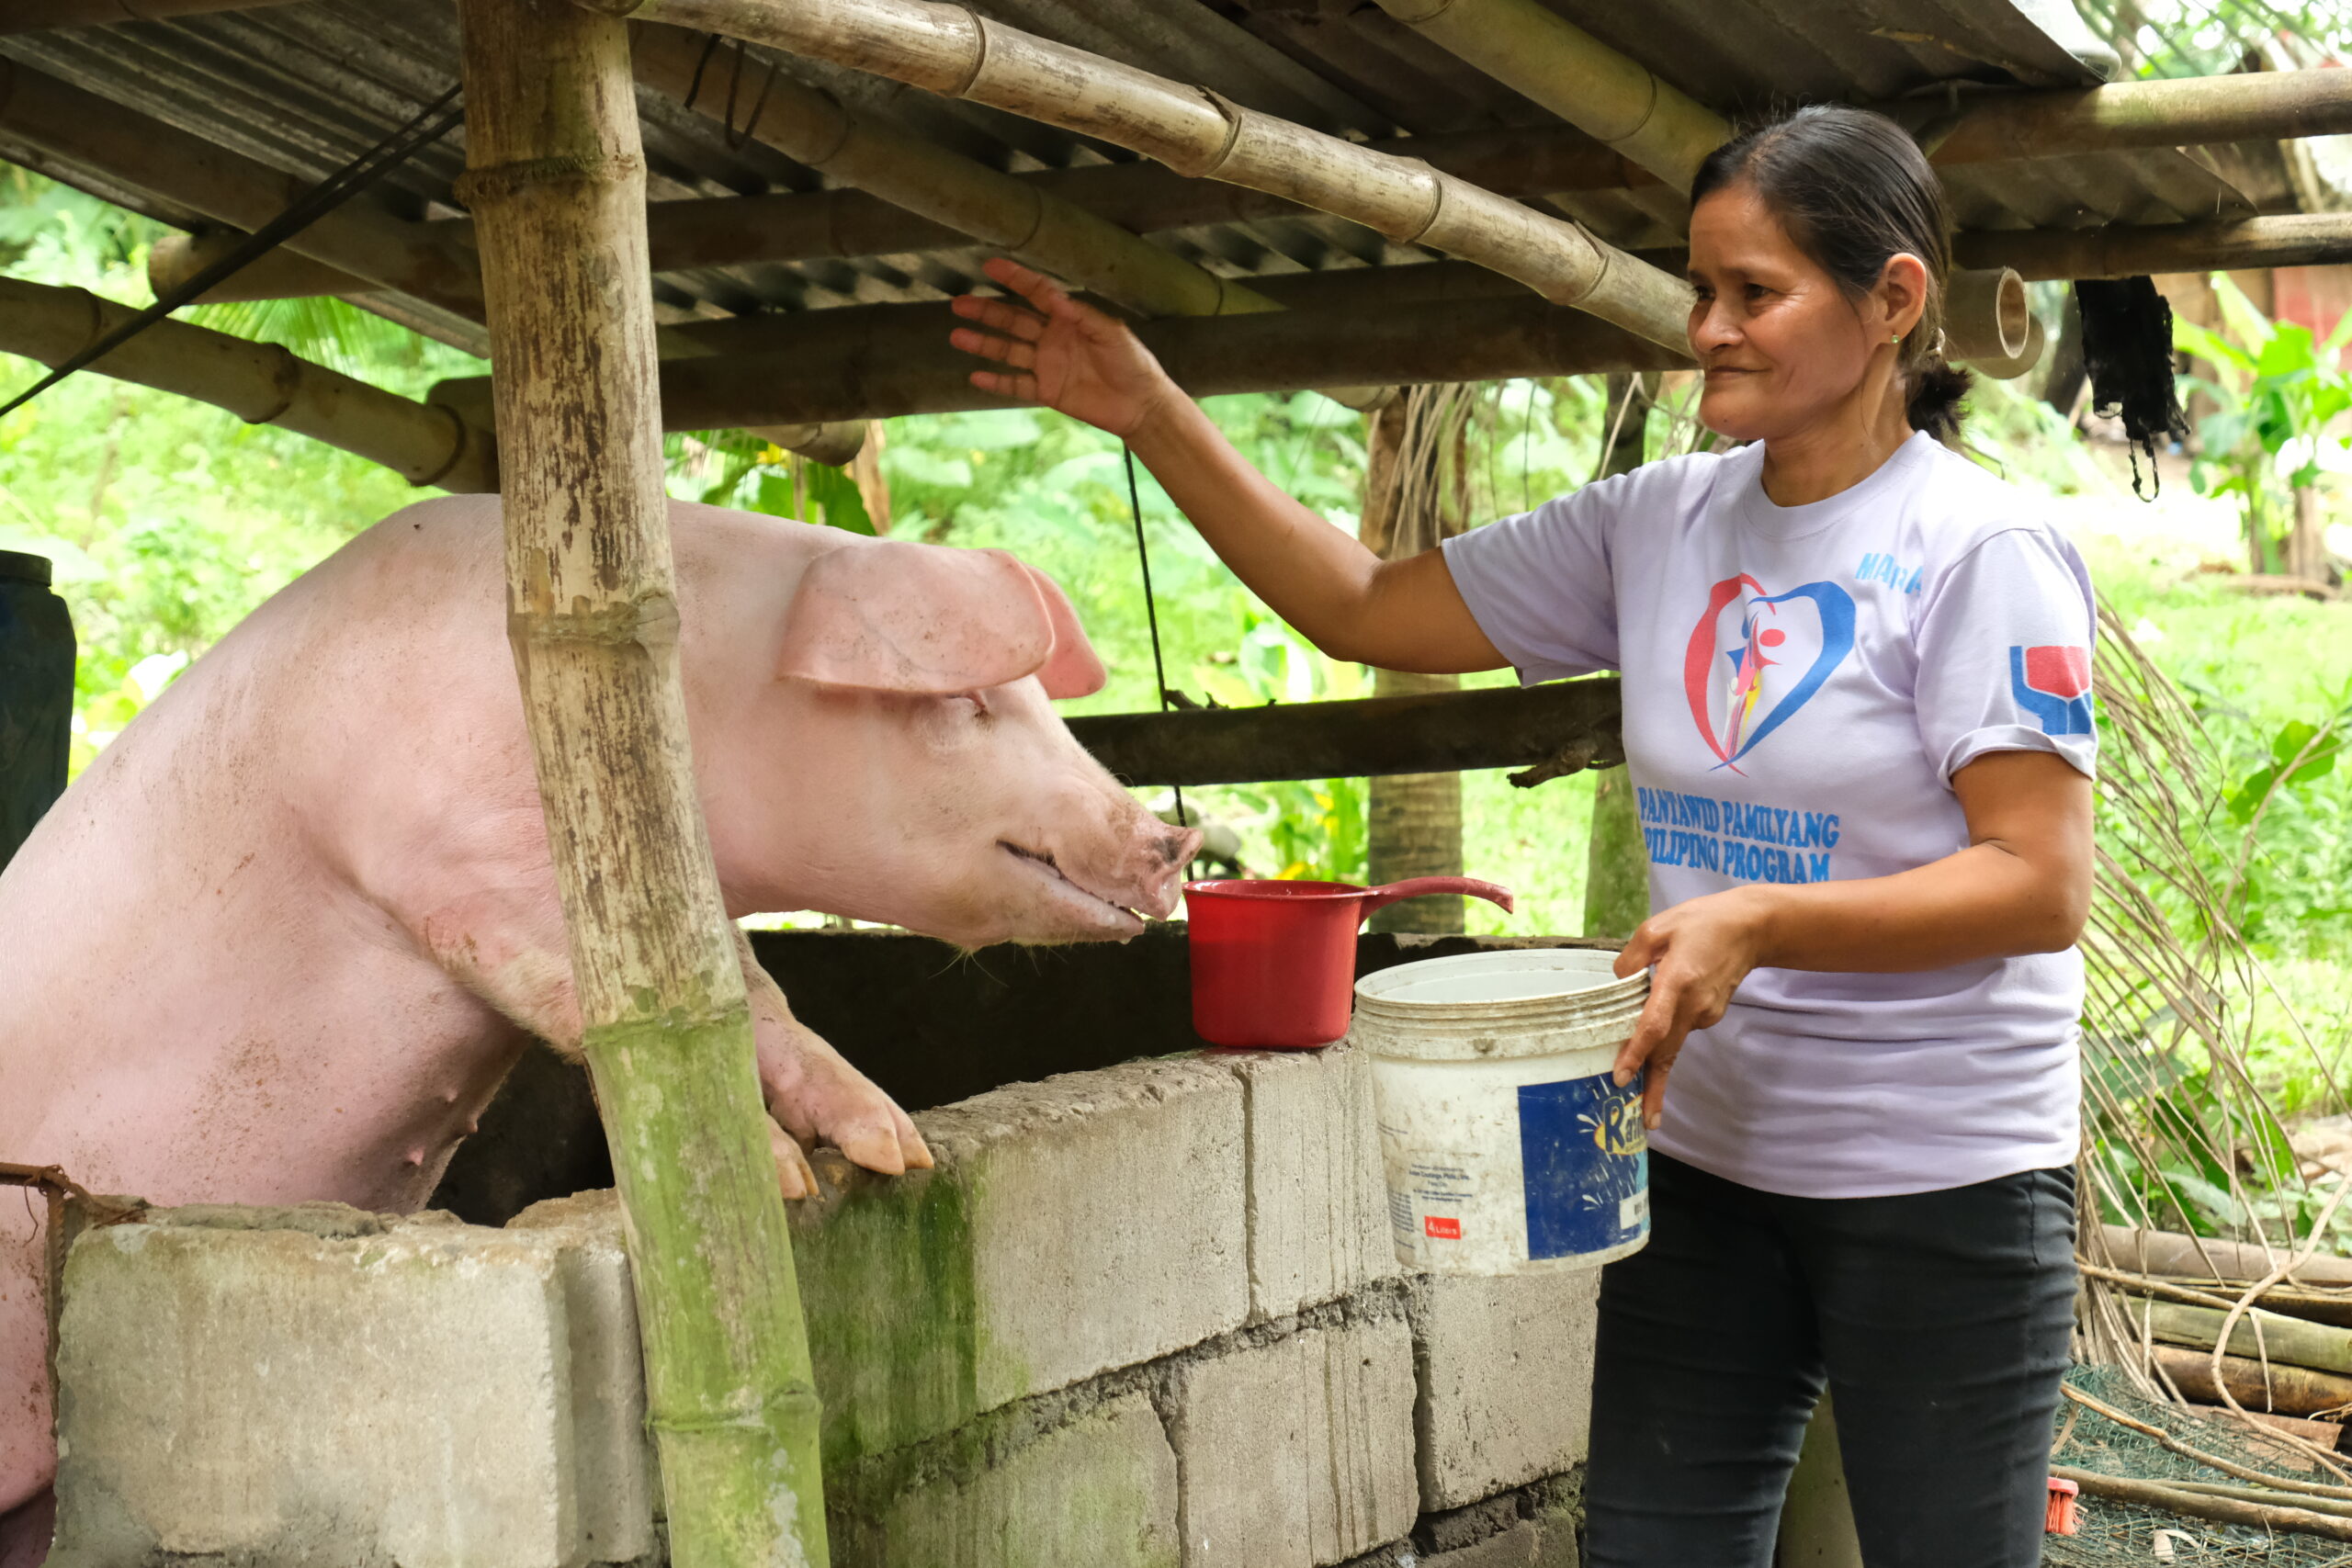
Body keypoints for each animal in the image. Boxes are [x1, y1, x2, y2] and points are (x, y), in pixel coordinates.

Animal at [0, 493, 1194, 1561]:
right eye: (971, 707)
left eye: (1039, 701)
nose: (1172, 840)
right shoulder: (456, 861)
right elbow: (573, 982)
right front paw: (781, 1175)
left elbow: (754, 996)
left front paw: (894, 1148)